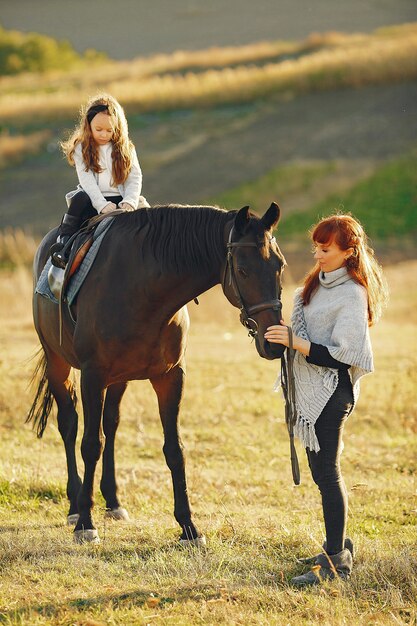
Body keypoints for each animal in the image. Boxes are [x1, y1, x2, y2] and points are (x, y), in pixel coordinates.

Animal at [26, 204, 286, 540]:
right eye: (242, 270)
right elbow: (90, 445)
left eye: (280, 266)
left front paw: (188, 526)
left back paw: (113, 501)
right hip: (58, 361)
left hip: (118, 379)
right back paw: (73, 506)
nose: (274, 343)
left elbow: (174, 449)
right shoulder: (93, 376)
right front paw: (85, 522)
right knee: (70, 425)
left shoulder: (170, 377)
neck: (142, 288)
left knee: (111, 424)